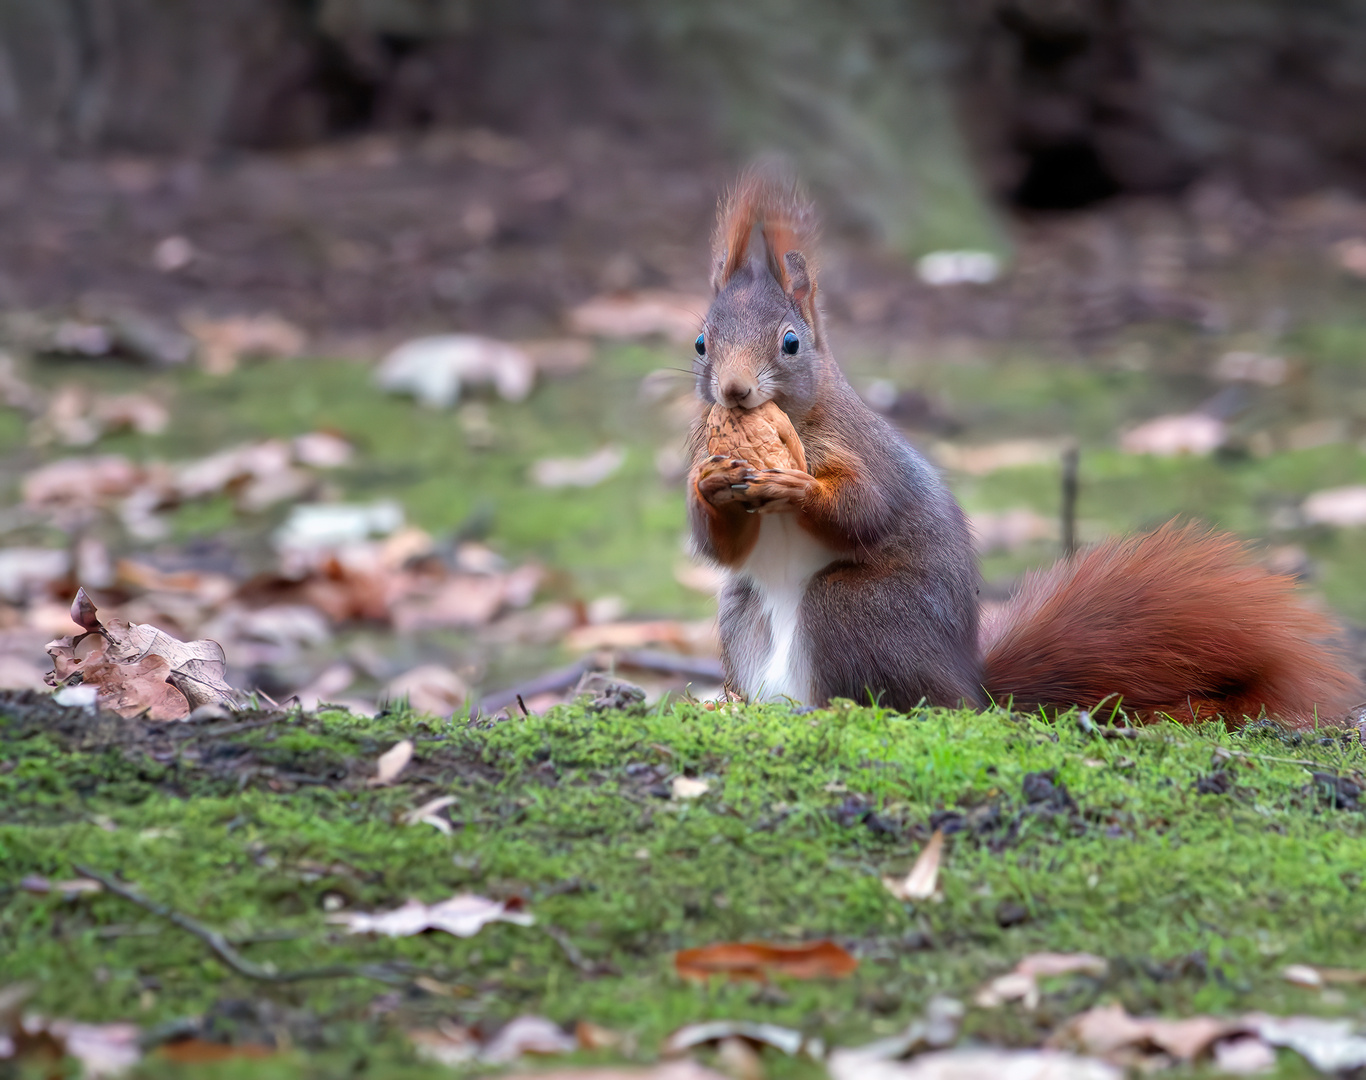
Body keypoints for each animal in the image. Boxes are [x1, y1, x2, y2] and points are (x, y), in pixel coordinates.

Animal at [688, 173, 1360, 731]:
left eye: (791, 343)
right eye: (699, 342)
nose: (734, 390)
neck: (799, 421)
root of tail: (970, 689)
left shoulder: (867, 453)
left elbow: (864, 510)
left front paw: (797, 487)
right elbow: (721, 546)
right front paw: (709, 484)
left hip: (855, 611)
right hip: (741, 611)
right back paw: (737, 703)